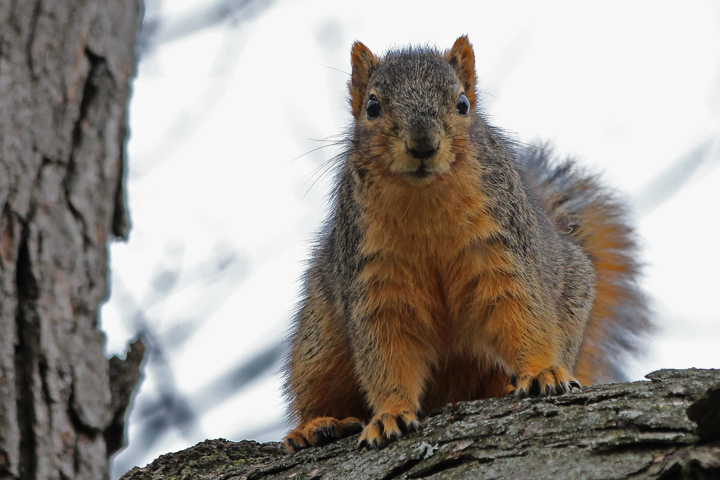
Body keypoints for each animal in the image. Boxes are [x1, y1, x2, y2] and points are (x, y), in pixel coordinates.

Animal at [283, 36, 651, 451]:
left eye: (463, 103)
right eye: (372, 107)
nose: (423, 144)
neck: (425, 201)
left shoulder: (501, 250)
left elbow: (521, 310)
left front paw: (541, 372)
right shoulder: (373, 275)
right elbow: (386, 350)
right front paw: (391, 413)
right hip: (317, 345)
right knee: (316, 394)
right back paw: (315, 426)